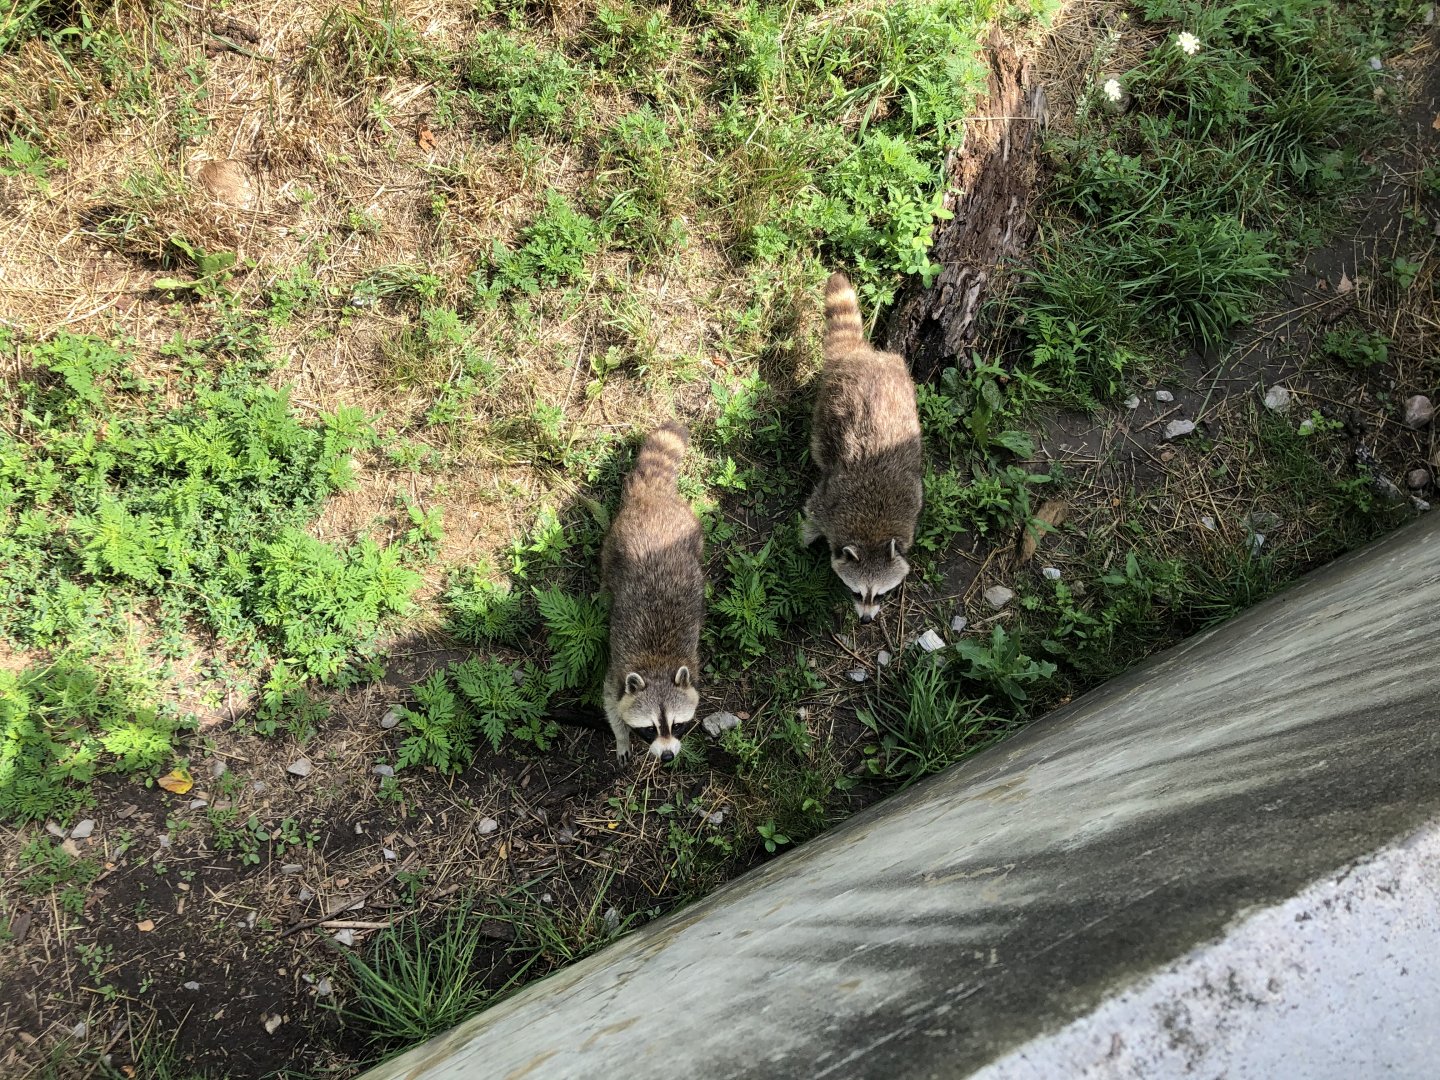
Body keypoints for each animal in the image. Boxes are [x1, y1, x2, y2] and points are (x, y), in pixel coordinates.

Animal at [601, 421, 705, 763]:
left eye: (678, 725)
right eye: (649, 729)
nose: (668, 756)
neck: (658, 665)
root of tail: (652, 495)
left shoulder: (693, 668)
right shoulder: (617, 673)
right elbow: (610, 703)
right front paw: (621, 737)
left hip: (692, 529)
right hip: (614, 542)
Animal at [802, 272, 924, 624]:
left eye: (881, 594)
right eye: (857, 593)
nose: (867, 619)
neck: (872, 533)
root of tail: (859, 354)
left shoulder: (912, 506)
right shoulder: (828, 505)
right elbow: (812, 514)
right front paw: (807, 538)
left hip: (900, 377)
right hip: (826, 410)